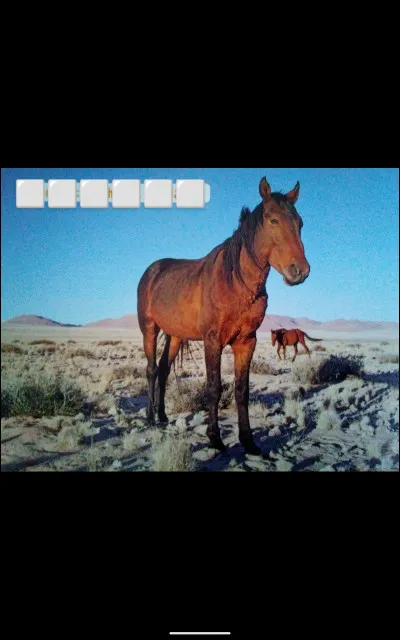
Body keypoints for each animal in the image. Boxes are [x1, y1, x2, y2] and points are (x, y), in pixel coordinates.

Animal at [137, 176, 311, 456]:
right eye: (273, 220)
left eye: (300, 223)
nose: (300, 271)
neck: (236, 282)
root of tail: (152, 271)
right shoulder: (213, 342)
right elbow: (214, 387)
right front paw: (215, 438)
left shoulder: (246, 342)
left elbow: (241, 390)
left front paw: (249, 441)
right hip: (149, 329)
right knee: (152, 369)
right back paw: (151, 418)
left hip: (175, 336)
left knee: (163, 370)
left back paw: (162, 417)